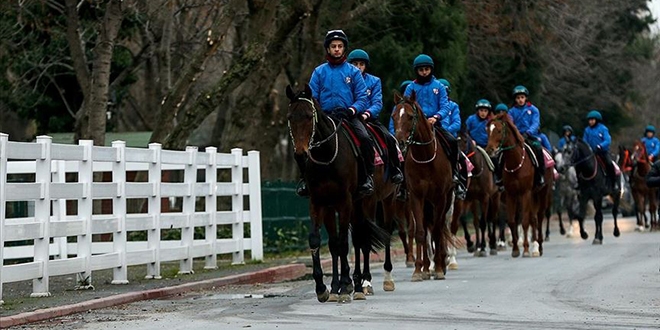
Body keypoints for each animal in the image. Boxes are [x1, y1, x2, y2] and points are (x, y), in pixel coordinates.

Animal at [286, 84, 390, 302]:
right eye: (290, 117)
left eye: (308, 116)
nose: (300, 154)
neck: (326, 155)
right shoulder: (319, 203)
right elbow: (322, 242)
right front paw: (325, 287)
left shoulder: (345, 202)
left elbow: (343, 243)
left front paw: (345, 285)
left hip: (364, 203)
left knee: (360, 240)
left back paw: (360, 284)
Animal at [390, 91, 456, 282]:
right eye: (394, 116)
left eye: (410, 116)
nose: (400, 142)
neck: (426, 158)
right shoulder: (416, 197)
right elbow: (420, 232)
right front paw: (419, 270)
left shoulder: (440, 198)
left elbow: (437, 231)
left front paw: (439, 268)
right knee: (427, 228)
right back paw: (428, 266)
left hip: (445, 200)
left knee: (440, 227)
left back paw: (441, 263)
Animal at [484, 113, 540, 258]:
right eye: (487, 131)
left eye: (498, 130)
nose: (489, 150)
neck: (515, 162)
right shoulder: (510, 194)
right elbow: (511, 221)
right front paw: (515, 249)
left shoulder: (525, 193)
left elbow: (525, 221)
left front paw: (525, 250)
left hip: (538, 194)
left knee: (534, 219)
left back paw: (536, 247)